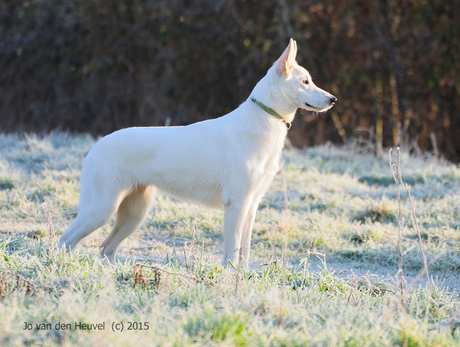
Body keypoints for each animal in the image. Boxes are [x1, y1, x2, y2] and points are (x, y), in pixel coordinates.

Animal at [59, 38, 336, 266]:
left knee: (106, 249)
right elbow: (232, 251)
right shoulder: (236, 204)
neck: (264, 120)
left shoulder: (251, 205)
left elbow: (245, 251)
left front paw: (243, 280)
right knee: (66, 241)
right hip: (101, 210)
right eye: (305, 82)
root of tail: (95, 146)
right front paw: (229, 279)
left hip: (133, 214)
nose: (333, 99)